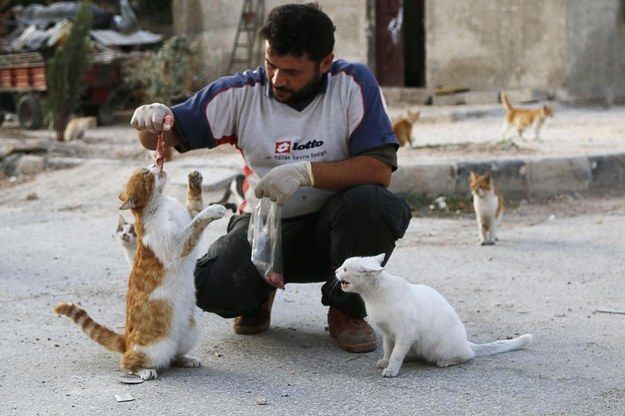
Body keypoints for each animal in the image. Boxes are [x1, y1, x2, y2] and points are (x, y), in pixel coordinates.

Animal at [336, 255, 532, 378]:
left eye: (345, 268)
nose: (335, 271)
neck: (374, 297)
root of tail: (466, 341)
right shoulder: (388, 334)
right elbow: (388, 349)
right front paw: (385, 361)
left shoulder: (405, 334)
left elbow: (396, 354)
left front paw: (391, 369)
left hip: (441, 347)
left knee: (468, 355)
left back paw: (446, 361)